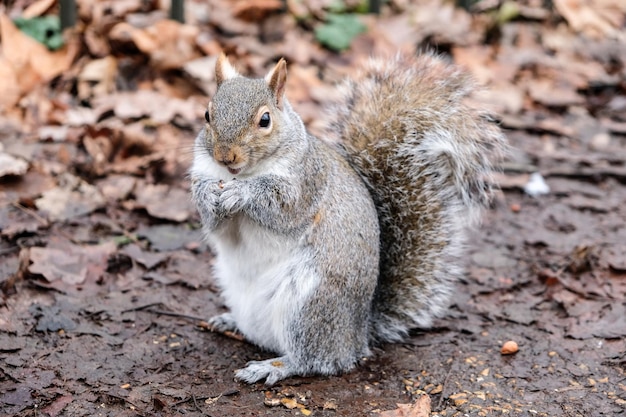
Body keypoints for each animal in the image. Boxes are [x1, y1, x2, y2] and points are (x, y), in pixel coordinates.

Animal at [188, 52, 504, 384]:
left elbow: (281, 207)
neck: (240, 173)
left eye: (265, 120)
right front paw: (208, 194)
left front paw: (243, 193)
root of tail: (358, 336)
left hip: (310, 307)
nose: (225, 156)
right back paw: (230, 322)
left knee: (313, 359)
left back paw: (274, 366)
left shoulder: (306, 183)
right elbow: (216, 225)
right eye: (207, 114)